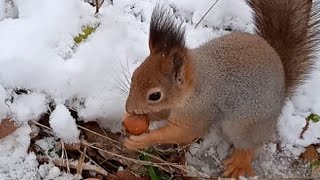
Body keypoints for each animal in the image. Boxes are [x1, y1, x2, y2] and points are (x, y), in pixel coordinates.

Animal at [122, 0, 320, 179]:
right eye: (134, 74)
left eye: (155, 95)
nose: (128, 108)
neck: (195, 87)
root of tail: (283, 89)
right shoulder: (171, 107)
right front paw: (132, 119)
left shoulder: (199, 112)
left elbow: (182, 133)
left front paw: (140, 141)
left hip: (245, 125)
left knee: (251, 146)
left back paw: (239, 163)